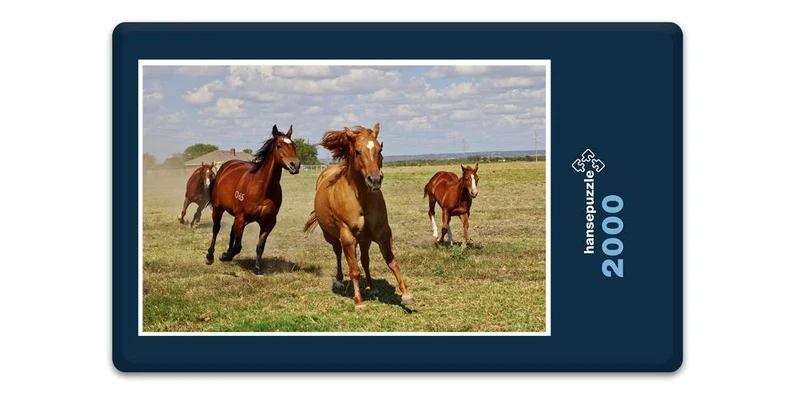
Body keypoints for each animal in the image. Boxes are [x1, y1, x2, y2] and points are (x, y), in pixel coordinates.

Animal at [205, 124, 301, 275]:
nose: (295, 165)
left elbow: (260, 246)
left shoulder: (268, 222)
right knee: (216, 228)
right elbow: (238, 246)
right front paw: (225, 256)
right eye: (279, 146)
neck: (262, 189)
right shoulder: (241, 217)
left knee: (232, 231)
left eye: (294, 145)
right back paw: (210, 256)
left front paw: (256, 268)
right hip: (218, 208)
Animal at [303, 123, 414, 310]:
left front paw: (406, 294)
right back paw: (340, 281)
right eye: (357, 151)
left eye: (379, 149)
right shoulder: (347, 235)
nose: (375, 180)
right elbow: (354, 269)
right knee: (338, 253)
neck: (361, 199)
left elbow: (391, 261)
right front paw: (359, 301)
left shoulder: (382, 232)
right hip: (332, 236)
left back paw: (371, 286)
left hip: (364, 239)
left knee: (364, 259)